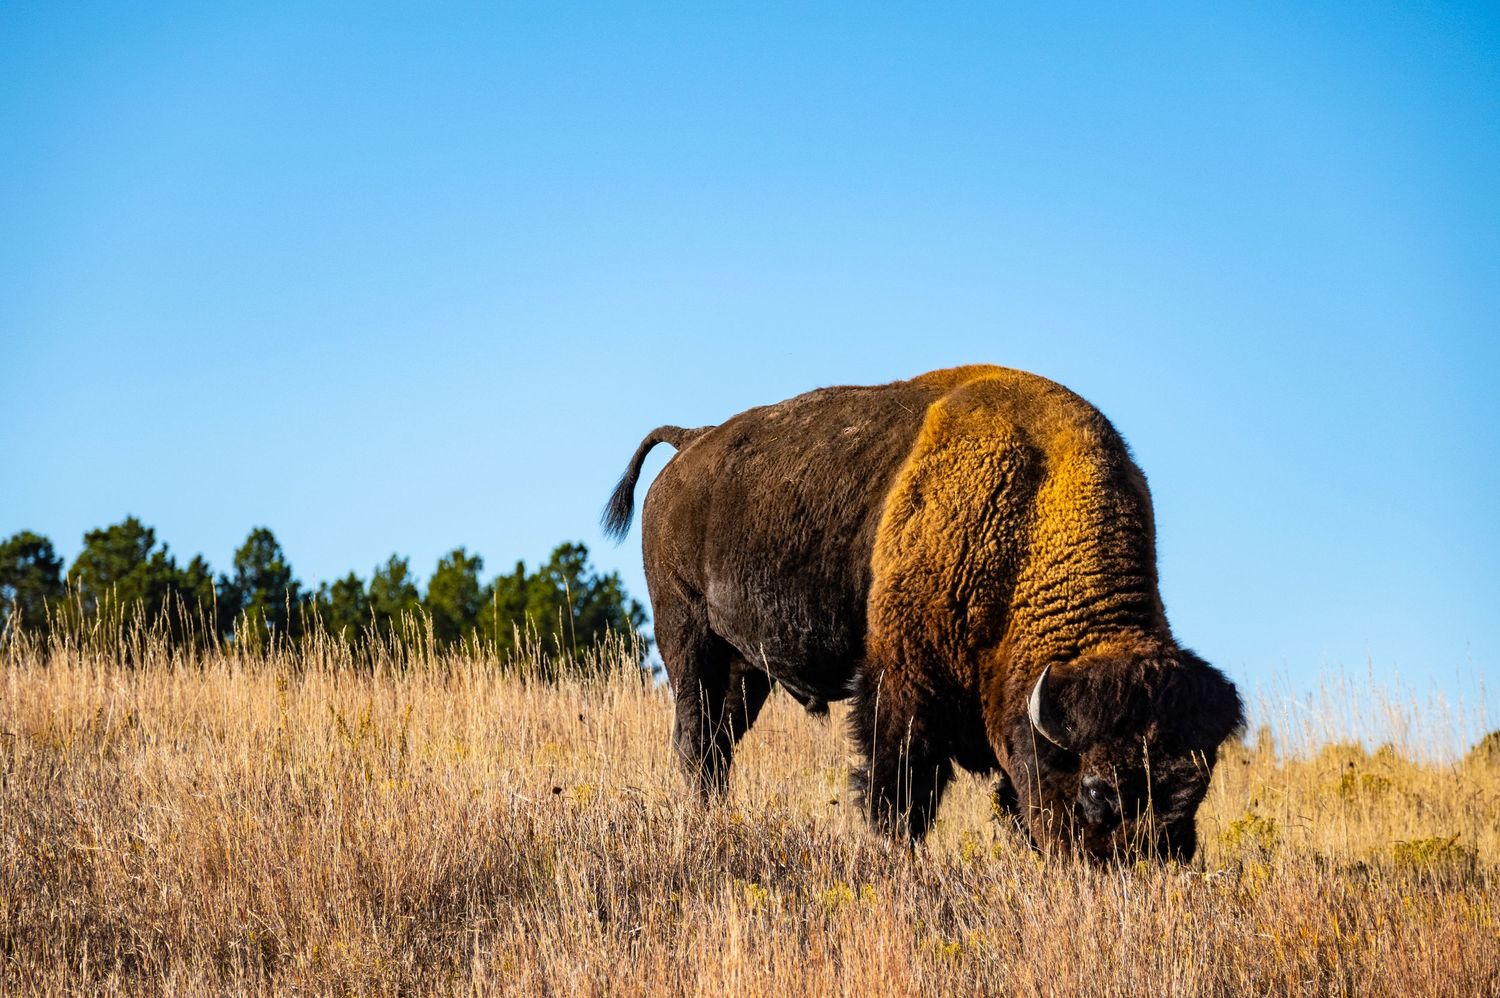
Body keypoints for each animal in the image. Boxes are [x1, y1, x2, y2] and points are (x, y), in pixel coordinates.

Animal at [603, 365, 1243, 861]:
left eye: (1193, 793)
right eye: (1095, 791)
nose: (1142, 865)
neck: (1026, 521)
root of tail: (692, 442)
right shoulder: (902, 682)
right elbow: (898, 785)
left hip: (746, 665)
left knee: (722, 742)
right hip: (687, 635)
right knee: (696, 738)